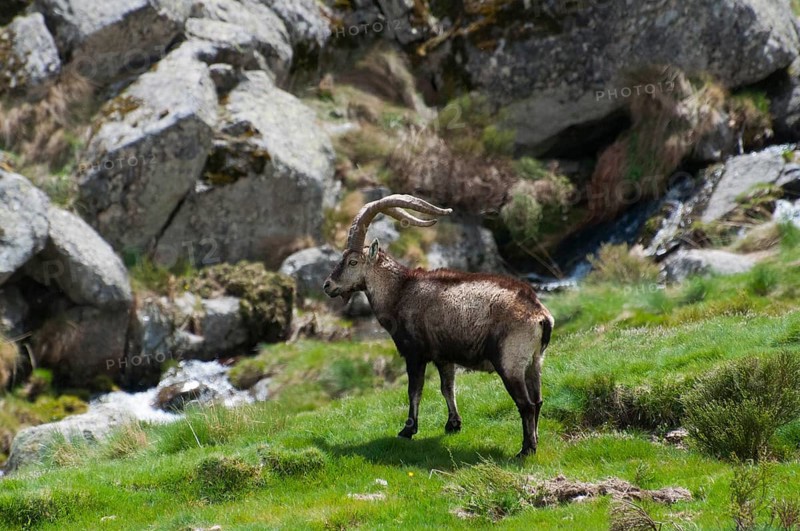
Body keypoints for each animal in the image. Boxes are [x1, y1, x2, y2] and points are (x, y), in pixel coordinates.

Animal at [323, 194, 554, 457]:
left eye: (352, 262)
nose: (328, 285)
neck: (400, 291)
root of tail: (540, 315)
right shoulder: (444, 356)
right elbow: (447, 387)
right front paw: (453, 424)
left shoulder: (415, 353)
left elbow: (415, 390)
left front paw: (407, 430)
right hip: (534, 361)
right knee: (538, 401)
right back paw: (534, 440)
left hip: (510, 362)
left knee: (526, 404)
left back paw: (526, 449)